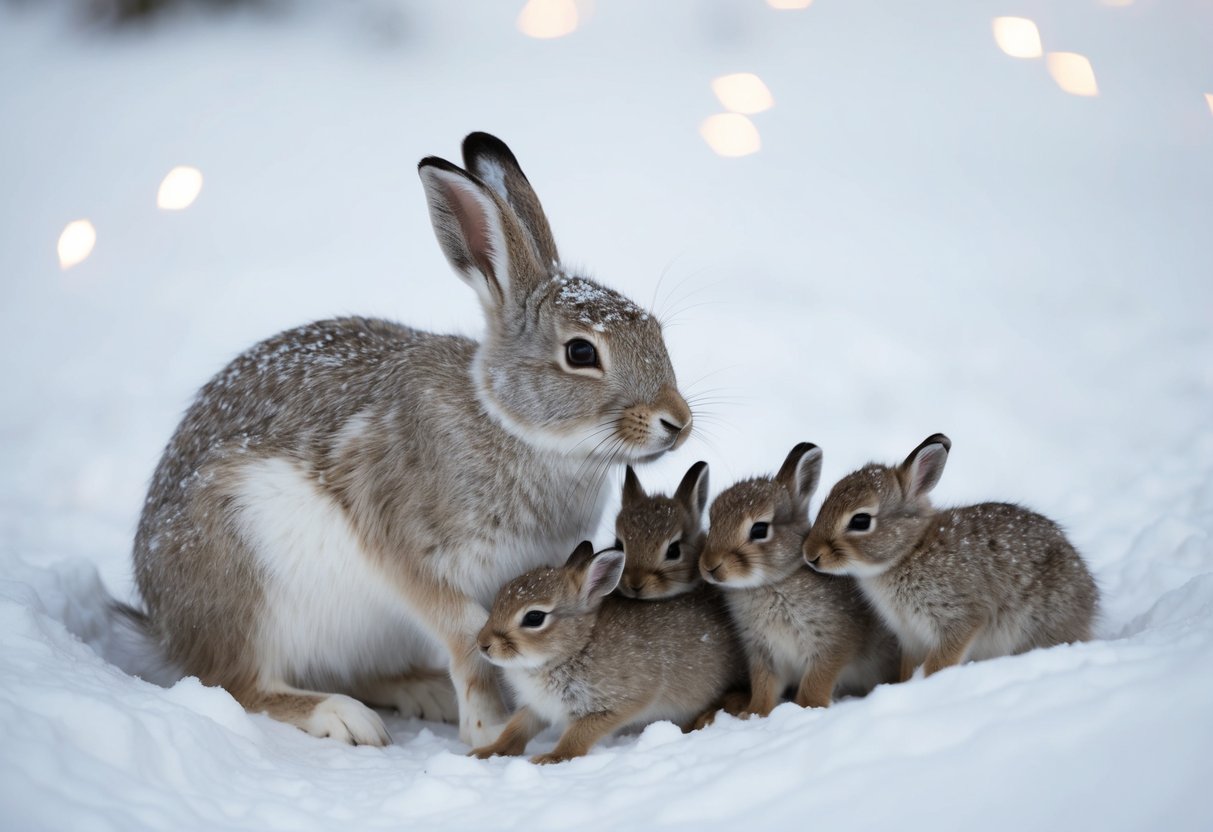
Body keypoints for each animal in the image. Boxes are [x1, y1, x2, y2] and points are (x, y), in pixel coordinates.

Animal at [128, 132, 693, 748]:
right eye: (581, 352)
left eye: (655, 331)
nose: (678, 421)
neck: (511, 427)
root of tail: (163, 622)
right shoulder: (409, 552)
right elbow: (466, 631)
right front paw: (489, 728)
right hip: (247, 586)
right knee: (235, 683)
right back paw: (343, 717)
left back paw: (422, 692)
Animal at [471, 541, 746, 764]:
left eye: (535, 617)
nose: (483, 643)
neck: (577, 646)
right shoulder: (537, 706)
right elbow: (516, 729)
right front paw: (487, 752)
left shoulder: (617, 703)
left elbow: (579, 734)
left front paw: (553, 757)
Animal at [699, 443, 900, 716]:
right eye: (712, 525)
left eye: (759, 529)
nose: (710, 566)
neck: (772, 583)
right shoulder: (763, 653)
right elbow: (764, 686)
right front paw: (754, 714)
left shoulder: (829, 642)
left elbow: (816, 682)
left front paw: (807, 708)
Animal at [803, 433, 1098, 680]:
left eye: (861, 520)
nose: (810, 555)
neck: (908, 551)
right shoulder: (911, 637)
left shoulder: (960, 617)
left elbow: (943, 659)